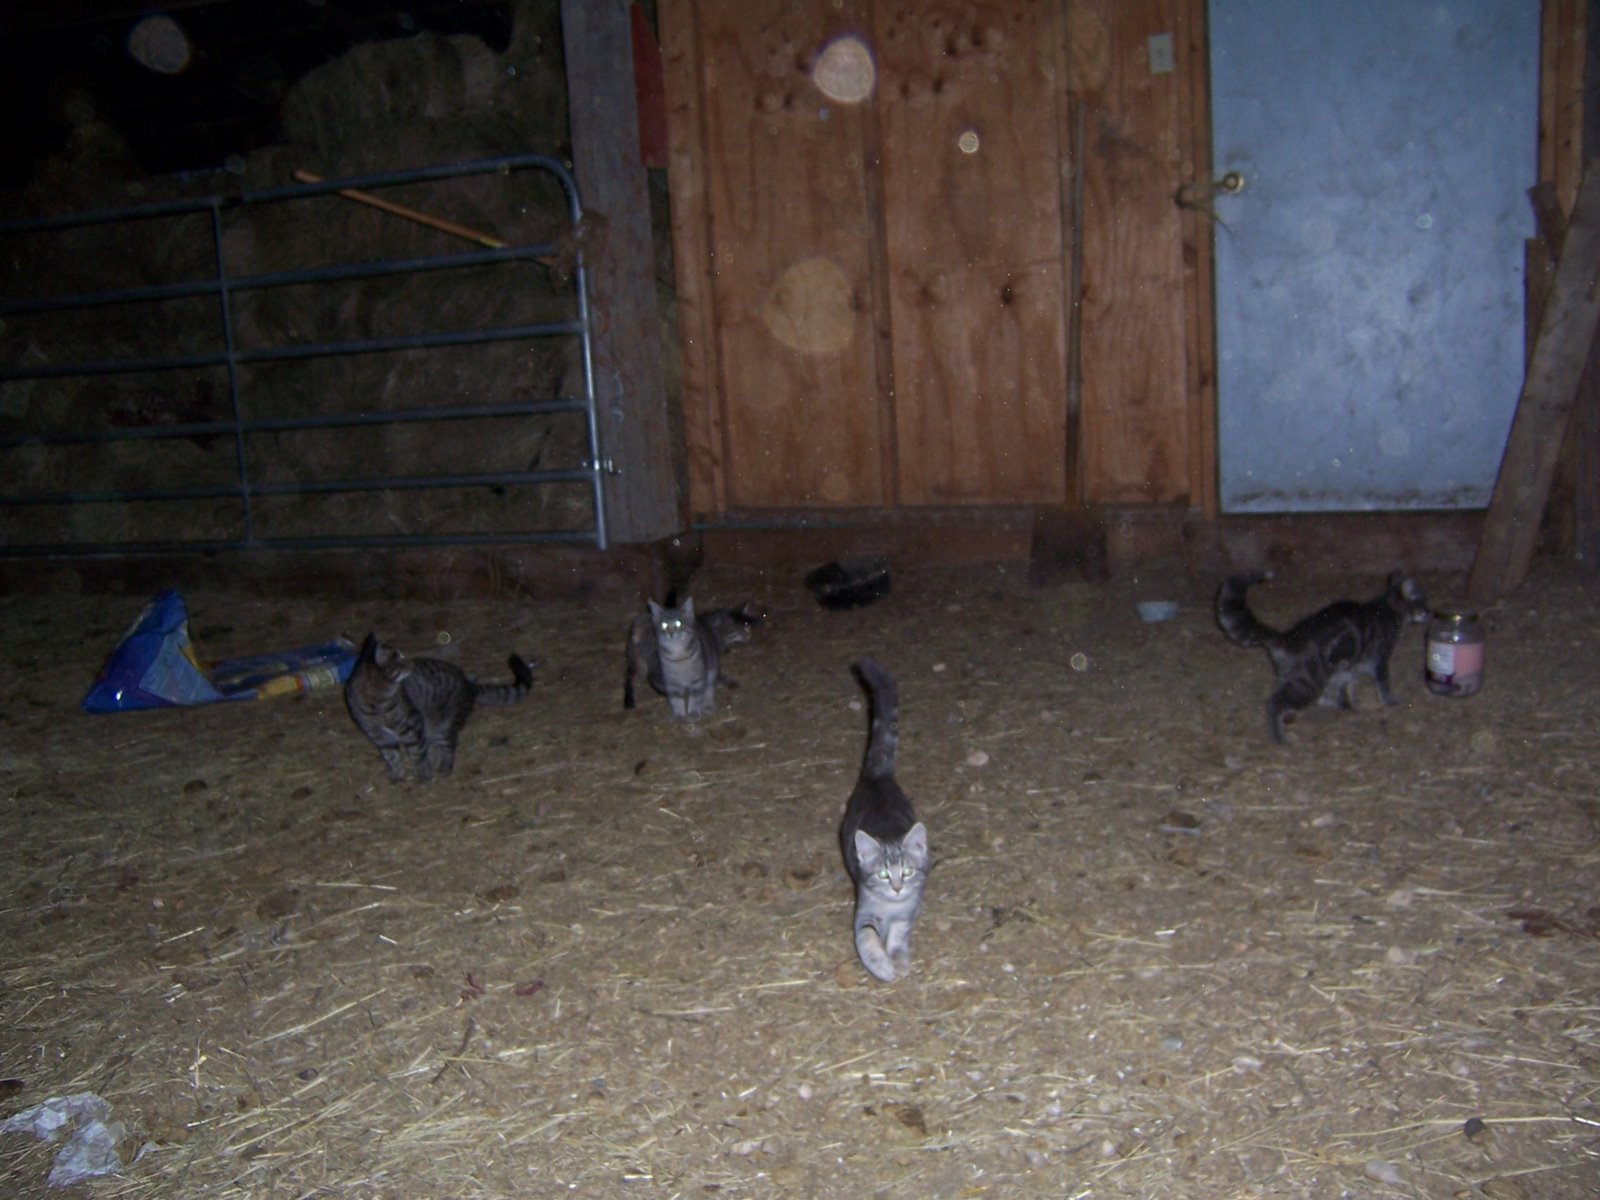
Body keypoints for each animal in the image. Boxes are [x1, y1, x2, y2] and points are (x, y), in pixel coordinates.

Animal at [342, 633, 531, 784]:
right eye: (400, 658)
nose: (411, 662)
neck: (377, 703)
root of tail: (469, 684)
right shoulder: (380, 737)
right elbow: (393, 758)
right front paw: (398, 775)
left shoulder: (413, 725)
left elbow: (417, 755)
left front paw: (423, 776)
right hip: (432, 729)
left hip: (445, 727)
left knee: (448, 749)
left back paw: (443, 768)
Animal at [617, 598, 761, 720]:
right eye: (735, 630)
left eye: (747, 625)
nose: (749, 635)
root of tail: (637, 628)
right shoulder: (711, 661)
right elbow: (715, 677)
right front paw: (727, 682)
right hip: (656, 663)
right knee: (653, 679)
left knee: (632, 679)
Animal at [844, 659, 934, 985]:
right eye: (883, 874)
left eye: (906, 871)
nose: (896, 888)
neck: (892, 906)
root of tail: (878, 776)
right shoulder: (864, 912)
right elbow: (867, 939)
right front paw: (881, 966)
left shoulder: (908, 913)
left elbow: (898, 933)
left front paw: (898, 957)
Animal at [1216, 569, 1433, 742]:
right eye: (1423, 602)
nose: (1432, 612)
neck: (1388, 608)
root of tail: (1287, 637)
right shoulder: (1379, 659)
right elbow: (1383, 685)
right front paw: (1389, 702)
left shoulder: (1348, 667)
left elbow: (1346, 688)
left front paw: (1350, 706)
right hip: (1308, 683)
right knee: (1275, 703)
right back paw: (1279, 737)